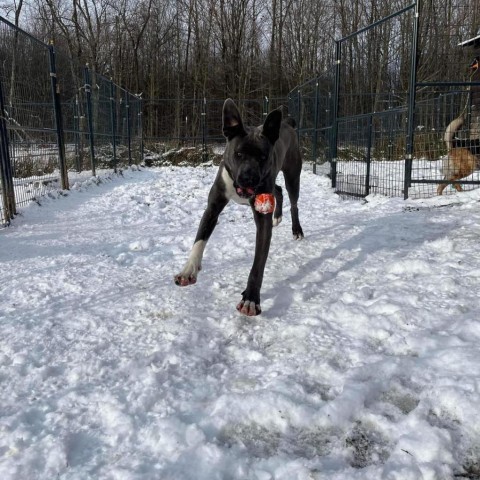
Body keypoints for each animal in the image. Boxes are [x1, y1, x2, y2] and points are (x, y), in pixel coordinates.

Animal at [173, 98, 304, 316]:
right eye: (239, 154)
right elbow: (199, 240)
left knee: (294, 203)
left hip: (293, 174)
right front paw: (188, 270)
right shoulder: (213, 207)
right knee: (277, 190)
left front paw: (250, 299)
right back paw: (277, 216)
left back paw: (297, 230)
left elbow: (258, 264)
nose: (248, 178)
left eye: (263, 157)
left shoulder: (262, 219)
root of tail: (287, 122)